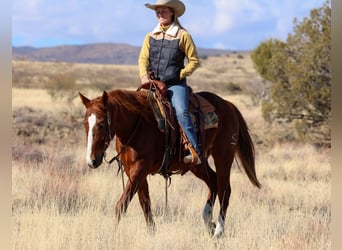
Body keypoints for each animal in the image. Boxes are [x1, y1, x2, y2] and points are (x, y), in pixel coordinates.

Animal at [79, 88, 262, 238]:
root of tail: (228, 105)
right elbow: (145, 205)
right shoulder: (135, 173)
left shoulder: (139, 170)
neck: (136, 125)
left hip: (223, 157)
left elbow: (121, 205)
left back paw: (218, 231)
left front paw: (113, 235)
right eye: (85, 123)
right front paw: (152, 234)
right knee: (213, 183)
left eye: (101, 124)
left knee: (225, 189)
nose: (91, 160)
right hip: (198, 164)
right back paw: (208, 221)